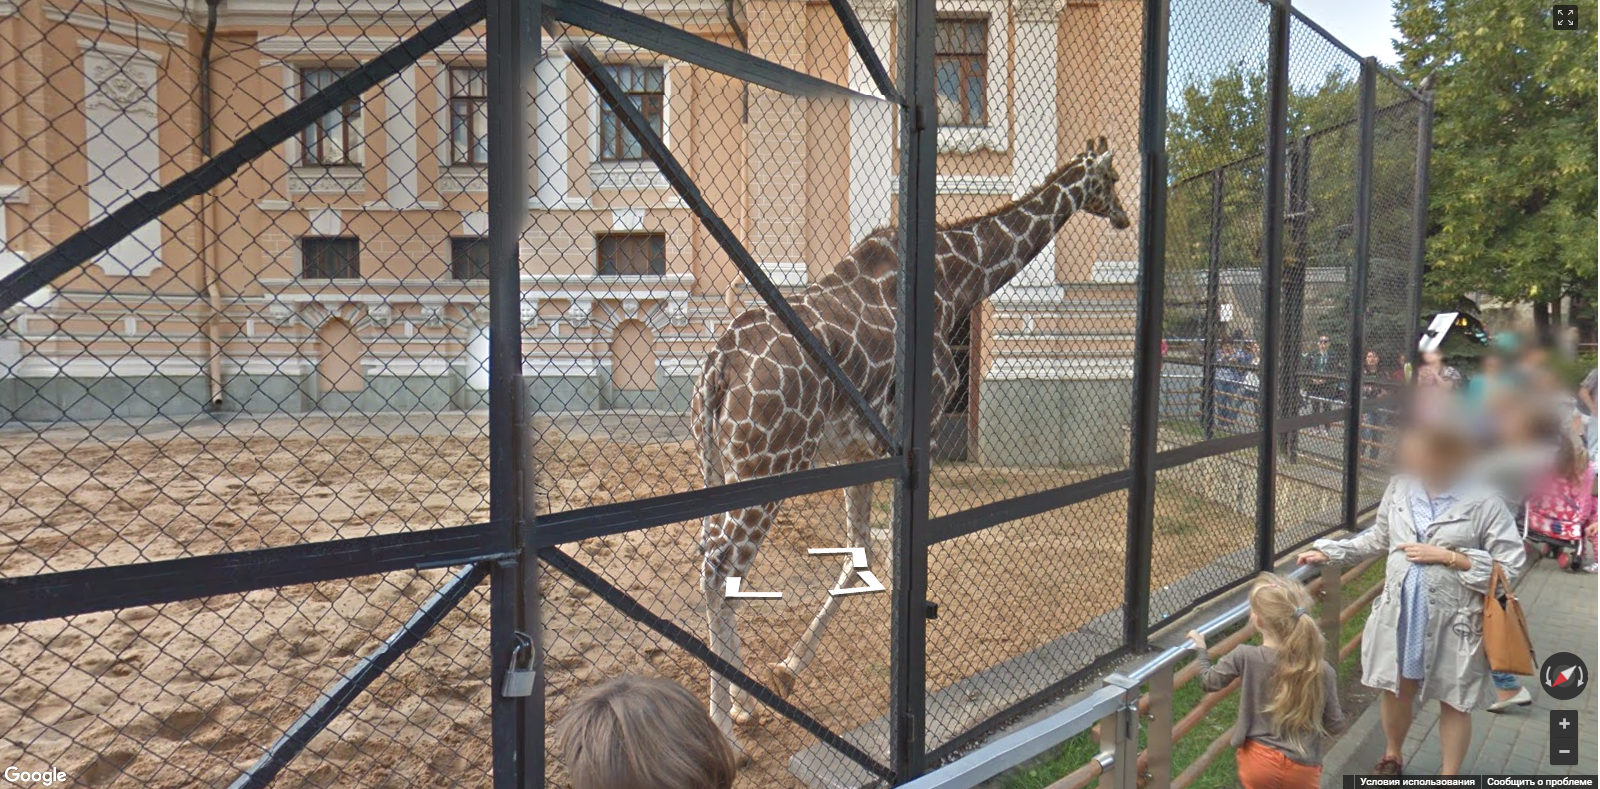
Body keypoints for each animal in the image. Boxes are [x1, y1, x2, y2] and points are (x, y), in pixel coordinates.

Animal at [694, 136, 1132, 745]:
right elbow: (892, 553)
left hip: (719, 464)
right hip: (770, 463)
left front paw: (785, 671)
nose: (1123, 216)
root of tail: (719, 366)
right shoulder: (912, 438)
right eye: (1109, 178)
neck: (957, 278)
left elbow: (861, 552)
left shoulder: (861, 451)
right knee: (720, 566)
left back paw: (741, 706)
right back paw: (722, 729)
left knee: (718, 564)